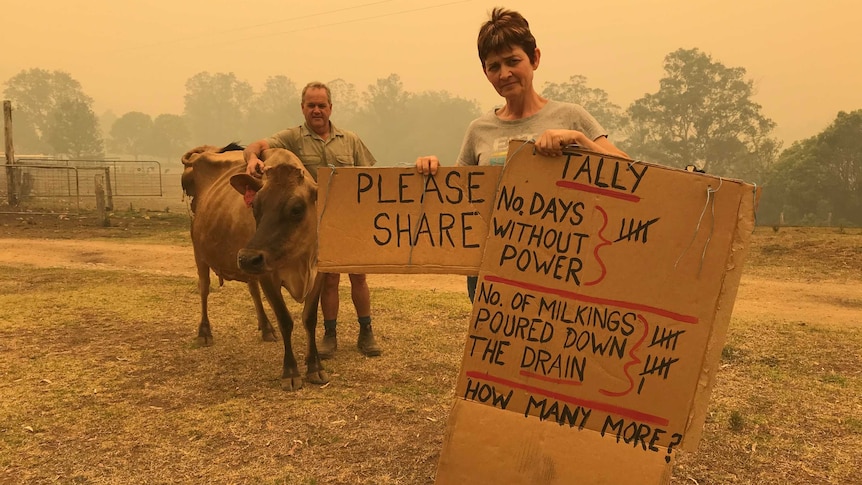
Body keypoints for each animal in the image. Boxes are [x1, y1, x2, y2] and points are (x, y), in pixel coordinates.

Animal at [183, 144, 330, 390]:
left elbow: (310, 319)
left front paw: (315, 367)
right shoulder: (268, 277)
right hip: (200, 252)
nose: (246, 258)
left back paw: (266, 328)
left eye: (297, 208)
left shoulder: (318, 274)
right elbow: (285, 320)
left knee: (252, 290)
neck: (301, 261)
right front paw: (290, 372)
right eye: (255, 206)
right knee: (203, 289)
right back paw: (204, 332)